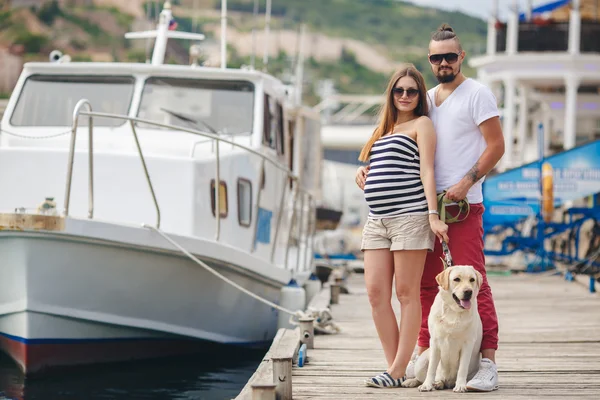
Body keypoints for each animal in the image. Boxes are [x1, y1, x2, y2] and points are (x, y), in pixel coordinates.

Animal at [404, 264, 482, 392]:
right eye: (456, 279)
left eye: (472, 279)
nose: (468, 292)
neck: (454, 311)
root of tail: (447, 382)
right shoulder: (435, 341)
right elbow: (431, 368)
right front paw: (427, 385)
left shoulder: (468, 343)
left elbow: (462, 368)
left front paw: (460, 385)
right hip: (420, 363)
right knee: (423, 376)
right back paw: (420, 382)